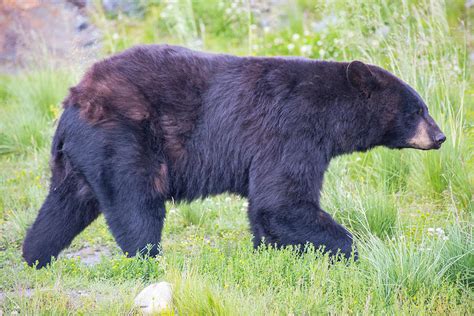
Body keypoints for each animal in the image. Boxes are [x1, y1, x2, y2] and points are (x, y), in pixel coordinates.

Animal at [22, 45, 446, 266]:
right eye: (417, 110)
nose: (440, 136)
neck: (329, 111)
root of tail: (74, 99)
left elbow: (266, 208)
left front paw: (270, 255)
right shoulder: (291, 131)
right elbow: (283, 200)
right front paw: (360, 253)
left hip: (81, 156)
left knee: (65, 205)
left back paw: (35, 255)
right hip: (124, 136)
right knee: (136, 203)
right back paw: (148, 259)